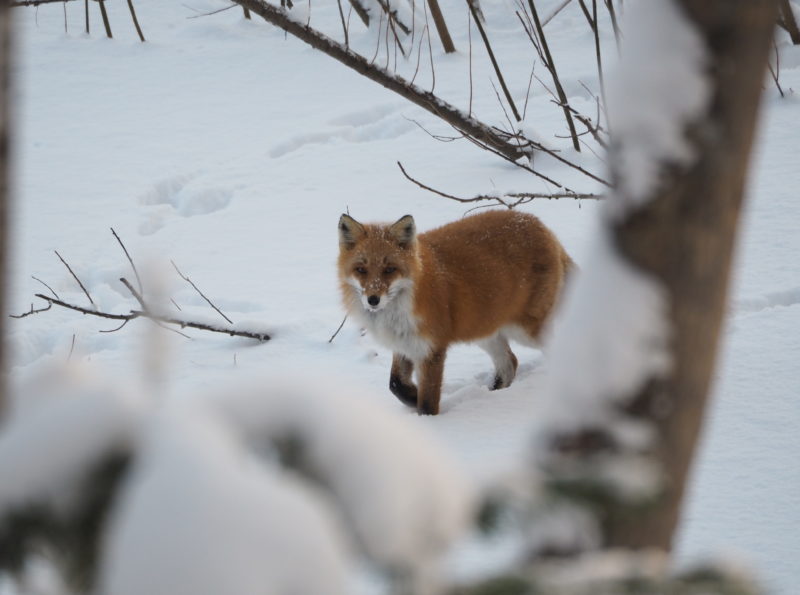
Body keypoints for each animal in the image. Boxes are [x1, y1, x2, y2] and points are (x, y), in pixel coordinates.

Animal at [340, 212, 576, 416]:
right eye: (361, 270)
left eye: (389, 269)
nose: (373, 300)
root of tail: (541, 225)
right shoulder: (405, 343)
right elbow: (396, 384)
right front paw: (413, 399)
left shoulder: (432, 348)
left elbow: (428, 401)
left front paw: (428, 421)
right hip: (485, 330)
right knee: (510, 363)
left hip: (526, 331)